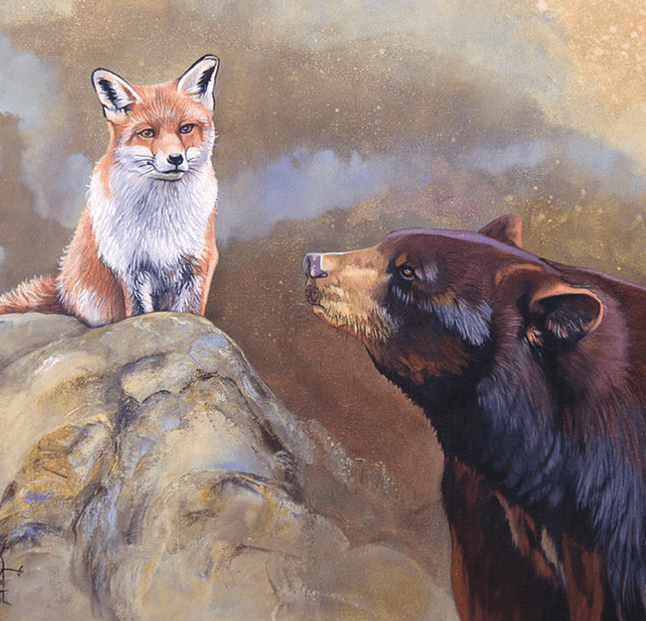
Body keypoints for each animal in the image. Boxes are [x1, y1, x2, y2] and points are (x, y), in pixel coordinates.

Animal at [0, 55, 220, 327]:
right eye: (147, 133)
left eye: (186, 128)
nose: (176, 158)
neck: (161, 219)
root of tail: (61, 285)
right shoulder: (130, 267)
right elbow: (138, 313)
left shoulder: (199, 262)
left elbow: (189, 313)